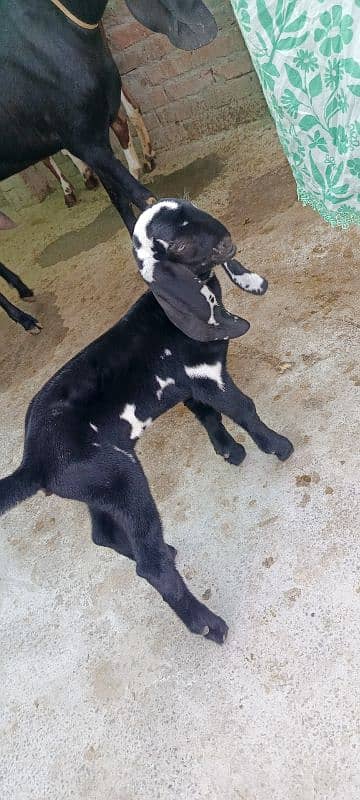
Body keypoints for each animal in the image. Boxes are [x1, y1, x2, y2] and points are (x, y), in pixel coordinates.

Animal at [0, 0, 217, 332]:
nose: (204, 29)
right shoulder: (82, 139)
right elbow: (145, 199)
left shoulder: (96, 134)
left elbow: (120, 200)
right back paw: (25, 319)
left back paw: (23, 290)